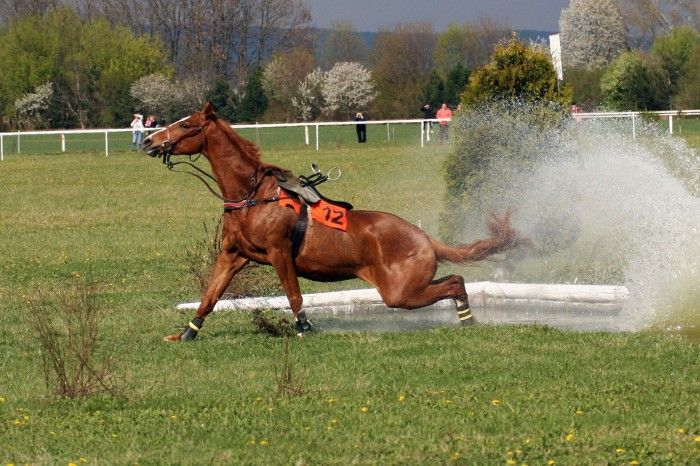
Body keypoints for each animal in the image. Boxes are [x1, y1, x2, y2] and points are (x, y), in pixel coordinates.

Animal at [142, 104, 520, 340]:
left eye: (186, 124)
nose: (148, 140)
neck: (252, 196)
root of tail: (425, 237)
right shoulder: (232, 255)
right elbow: (210, 295)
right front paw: (187, 333)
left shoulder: (279, 253)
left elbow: (294, 295)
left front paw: (304, 328)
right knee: (455, 279)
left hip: (400, 291)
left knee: (454, 282)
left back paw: (469, 319)